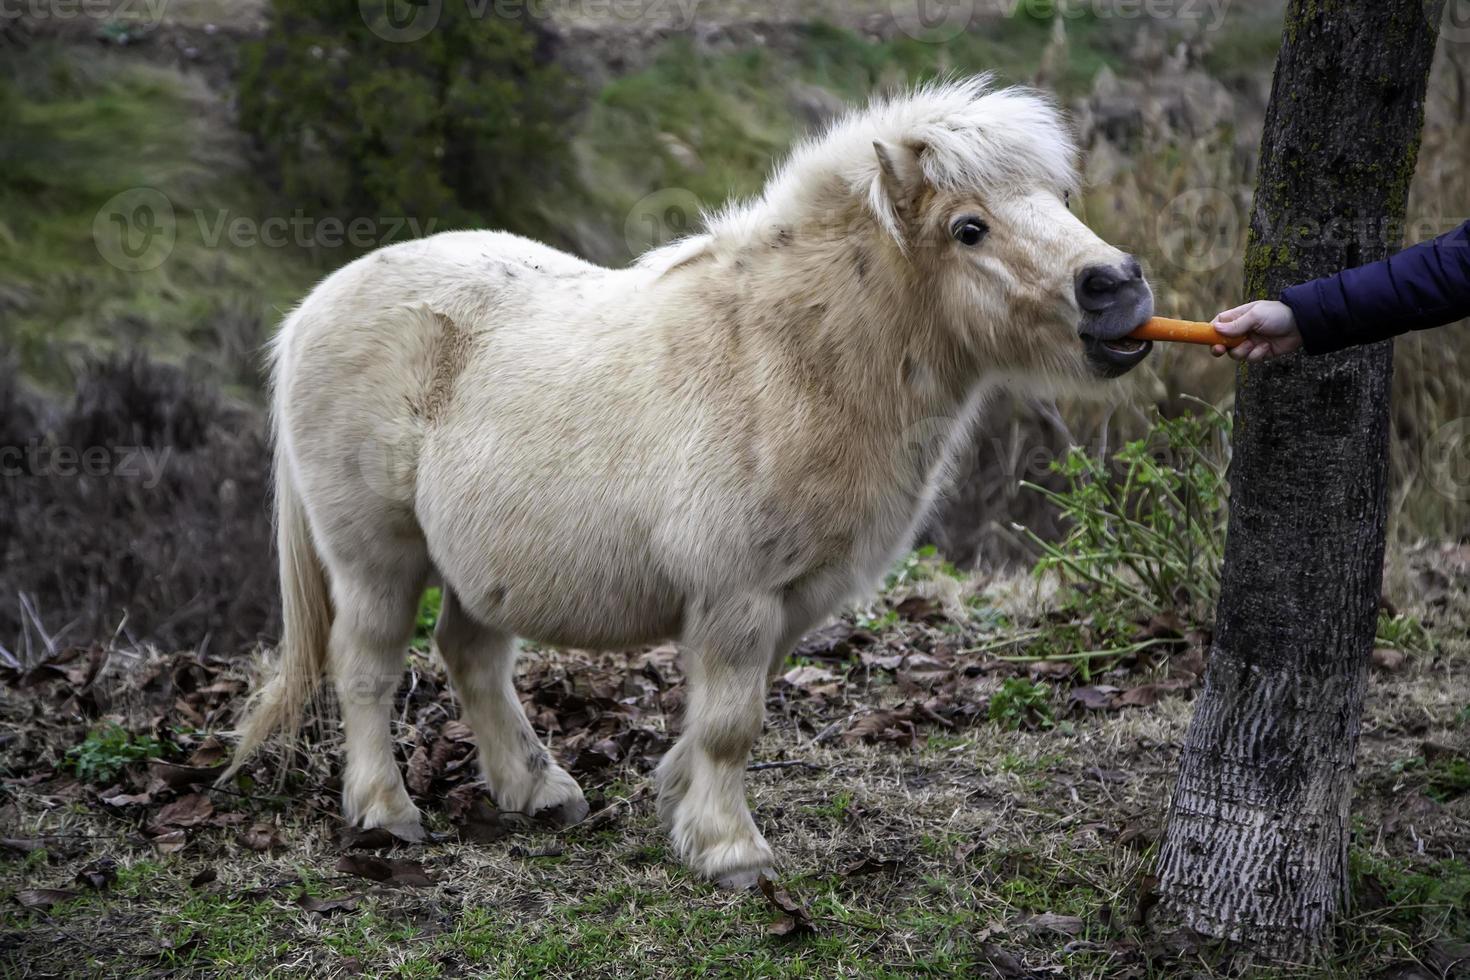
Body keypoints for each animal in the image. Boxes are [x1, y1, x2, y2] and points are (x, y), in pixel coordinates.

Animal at [223, 76, 1152, 887]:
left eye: (1061, 199)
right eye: (969, 228)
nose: (1117, 290)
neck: (790, 359)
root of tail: (313, 309)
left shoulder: (794, 598)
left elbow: (729, 713)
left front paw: (676, 796)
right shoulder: (737, 597)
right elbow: (733, 723)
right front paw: (730, 850)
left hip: (477, 563)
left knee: (471, 656)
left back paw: (538, 790)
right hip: (376, 557)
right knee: (366, 666)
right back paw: (386, 811)